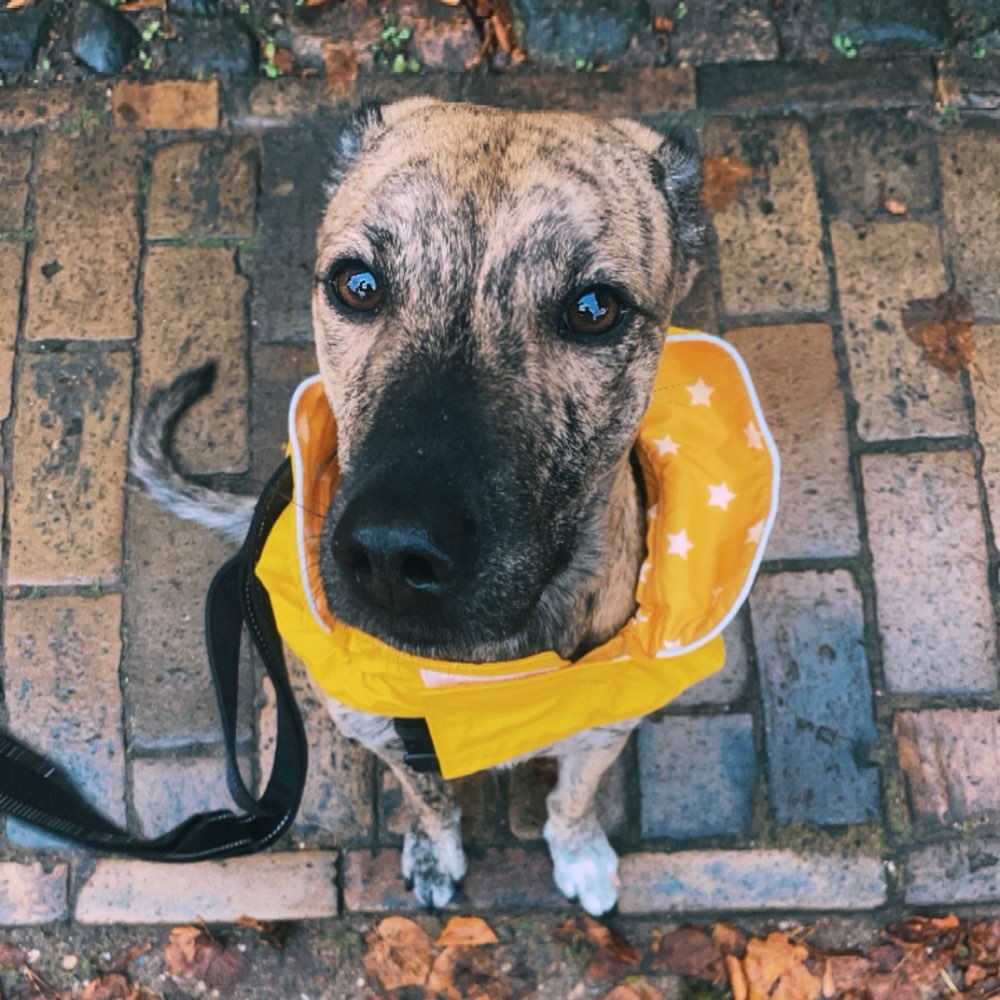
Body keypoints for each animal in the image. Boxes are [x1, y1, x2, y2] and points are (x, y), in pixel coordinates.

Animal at [135, 97, 704, 916]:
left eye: (595, 308)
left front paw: (579, 851)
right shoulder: (387, 734)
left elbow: (572, 797)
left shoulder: (606, 726)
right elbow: (427, 797)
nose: (391, 554)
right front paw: (436, 852)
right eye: (357, 284)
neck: (485, 671)